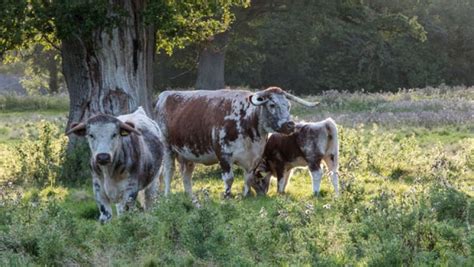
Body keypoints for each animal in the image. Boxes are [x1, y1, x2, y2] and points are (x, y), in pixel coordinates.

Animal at [155, 87, 318, 198]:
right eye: (272, 105)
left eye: (288, 106)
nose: (290, 124)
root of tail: (164, 95)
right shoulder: (223, 154)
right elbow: (229, 178)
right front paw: (227, 196)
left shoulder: (254, 157)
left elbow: (248, 178)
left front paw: (246, 195)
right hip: (167, 148)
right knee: (168, 171)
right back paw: (167, 194)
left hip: (187, 153)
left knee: (186, 175)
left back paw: (190, 197)